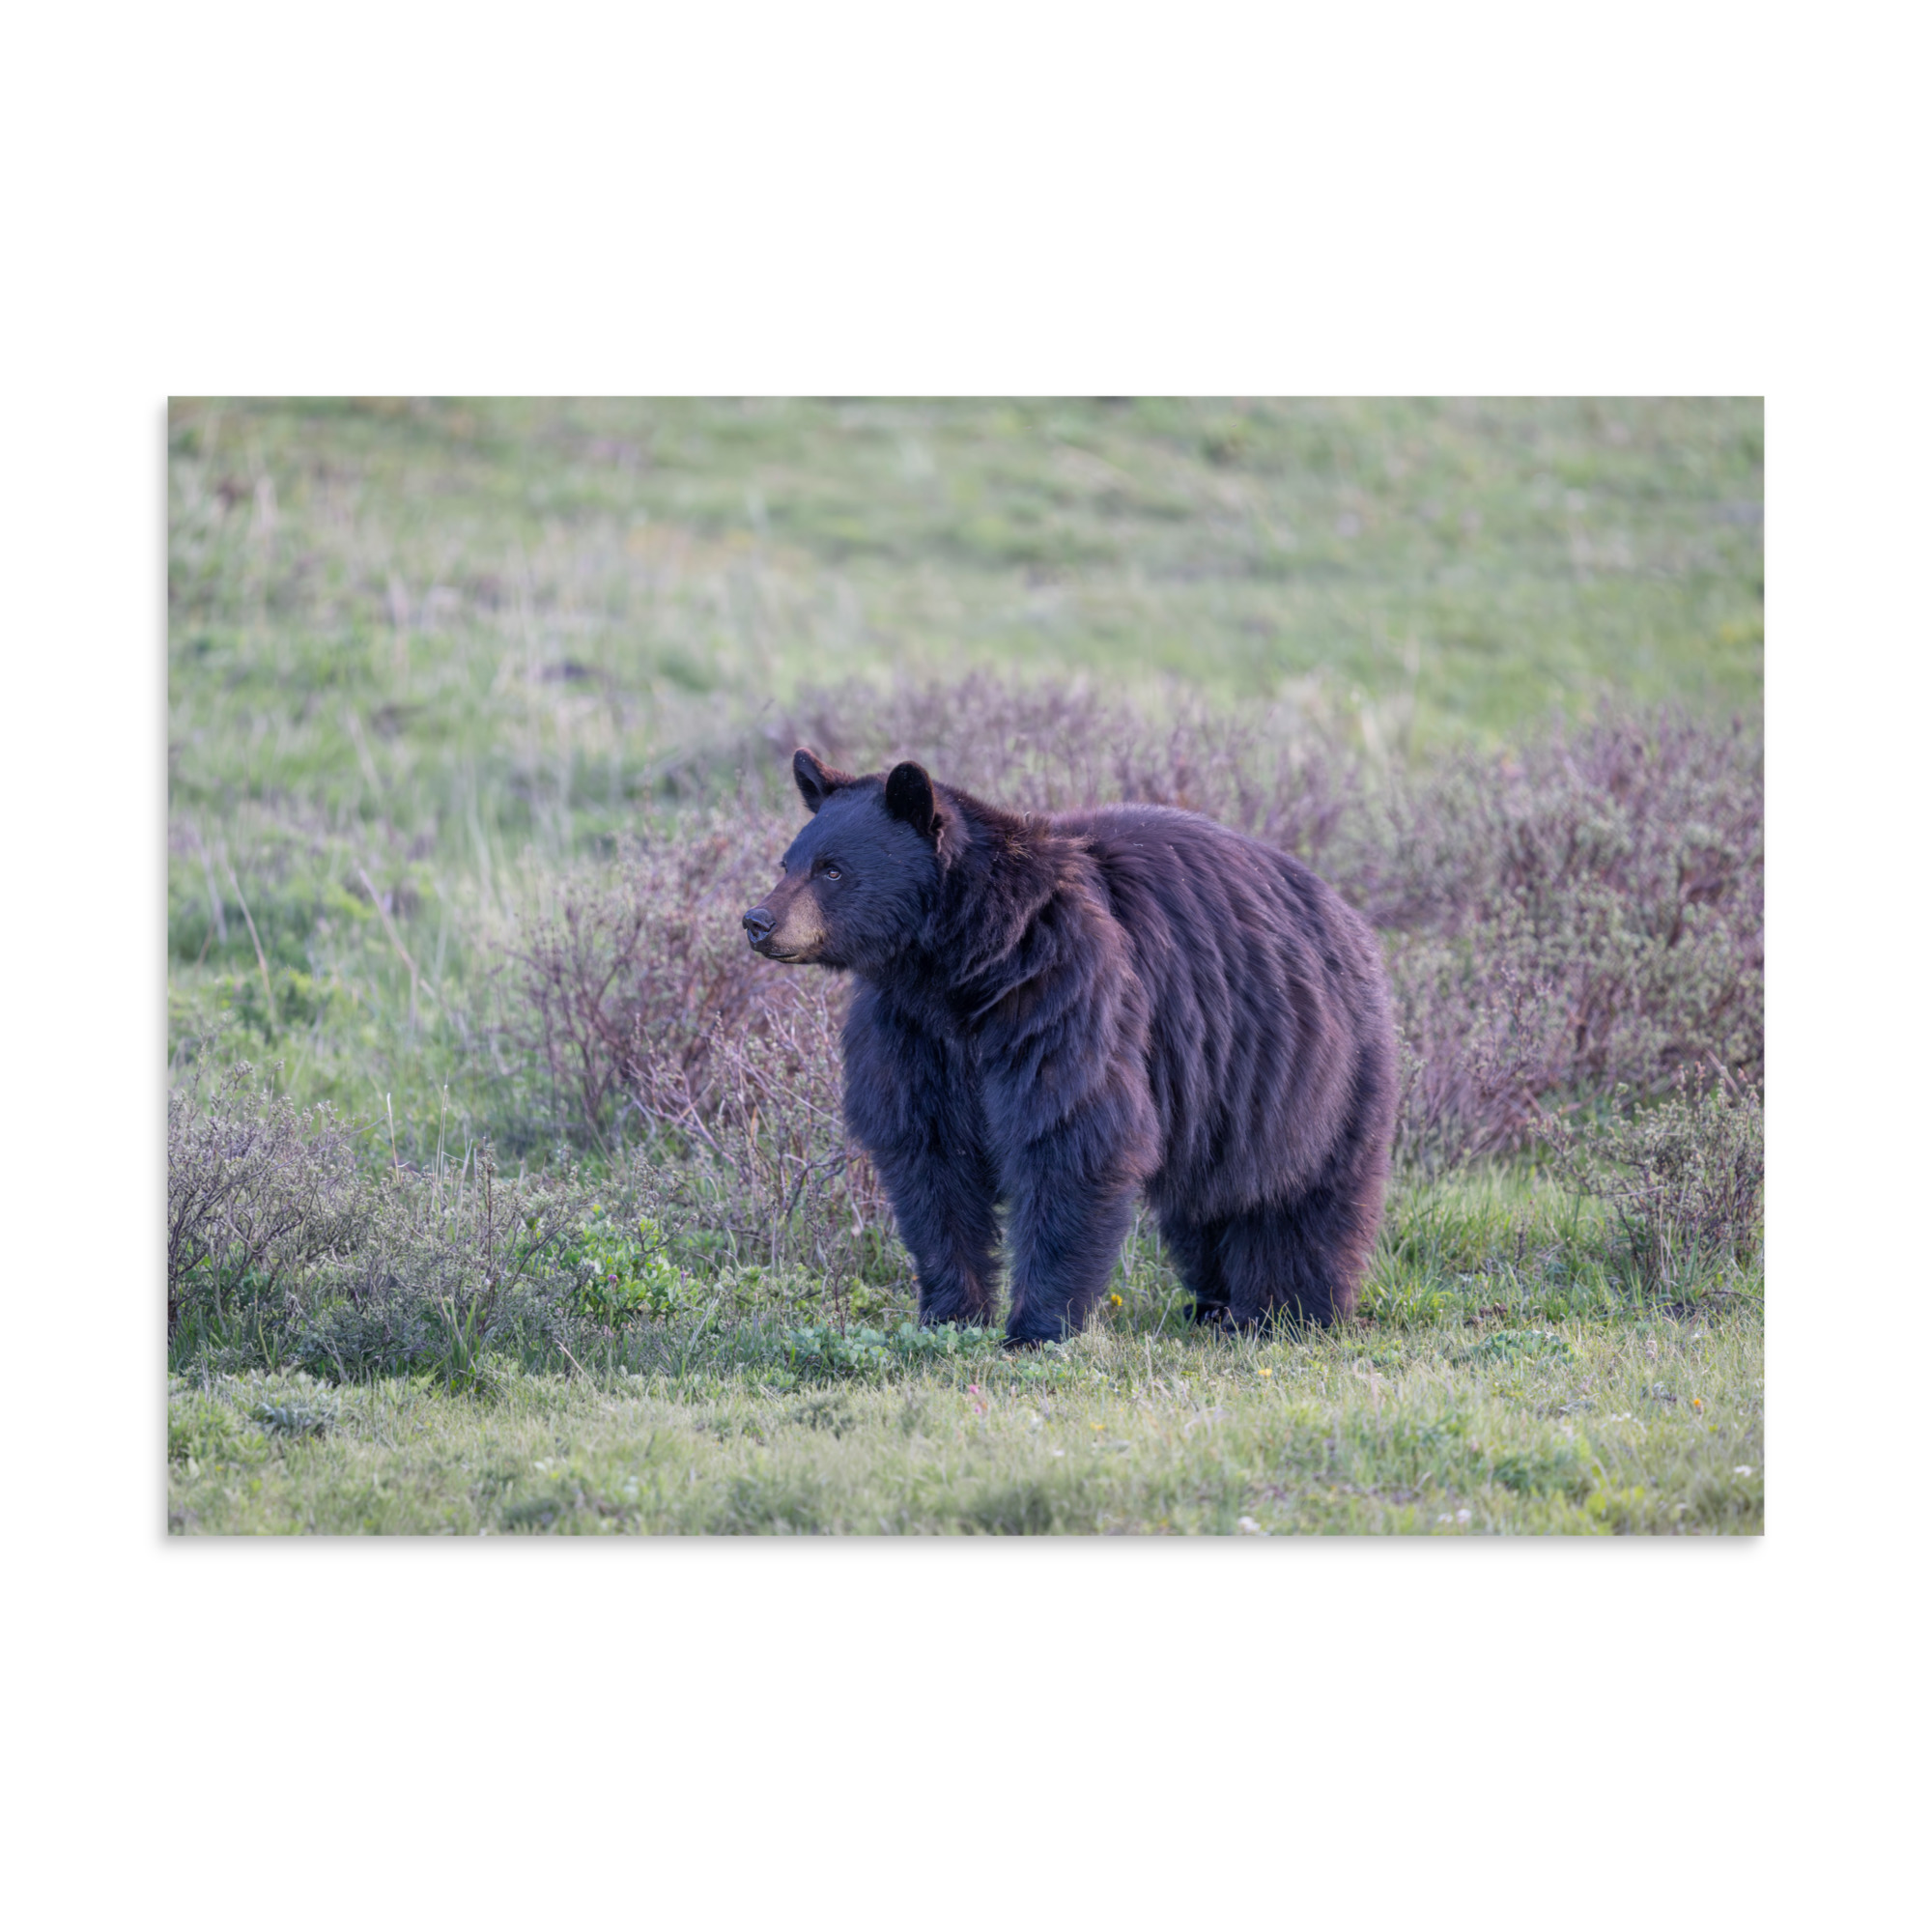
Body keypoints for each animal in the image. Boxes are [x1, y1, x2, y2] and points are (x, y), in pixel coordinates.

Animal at [743, 747, 1397, 1346]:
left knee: (1302, 1195)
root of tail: (1346, 914)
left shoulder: (1063, 992)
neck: (961, 966)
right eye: (787, 861)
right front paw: (950, 1314)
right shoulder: (911, 1032)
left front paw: (1036, 1328)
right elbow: (929, 1158)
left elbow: (1070, 1135)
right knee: (1208, 1202)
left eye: (832, 870)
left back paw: (1286, 1311)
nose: (758, 921)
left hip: (1310, 1067)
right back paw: (1214, 1304)